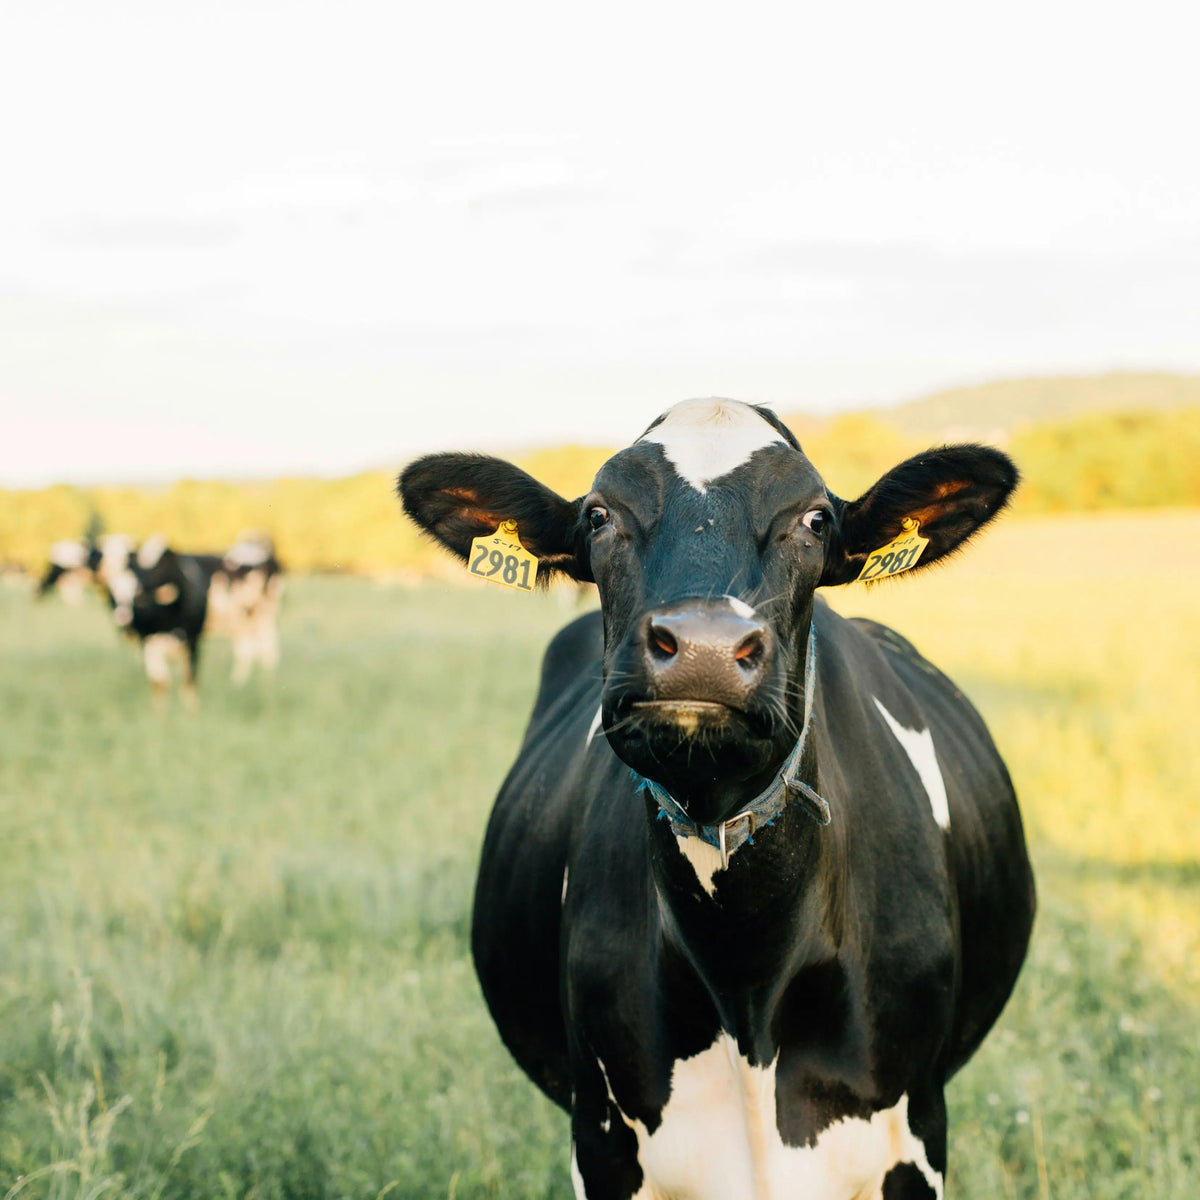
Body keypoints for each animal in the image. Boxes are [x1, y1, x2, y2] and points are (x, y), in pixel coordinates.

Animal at [399, 398, 1036, 1200]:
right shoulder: (600, 1142)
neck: (746, 983)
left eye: (816, 519)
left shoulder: (916, 1136)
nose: (703, 646)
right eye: (600, 515)